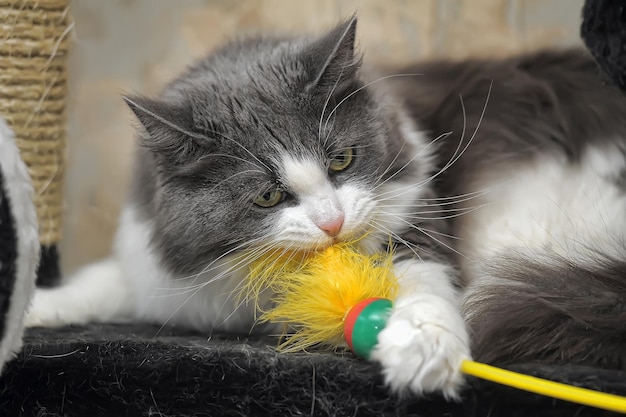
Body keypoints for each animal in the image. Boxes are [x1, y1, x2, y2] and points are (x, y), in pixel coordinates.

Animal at [25, 17, 624, 398]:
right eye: (268, 196)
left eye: (341, 160)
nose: (333, 223)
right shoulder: (162, 278)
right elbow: (101, 282)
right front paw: (36, 309)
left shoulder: (418, 230)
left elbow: (424, 287)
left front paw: (423, 354)